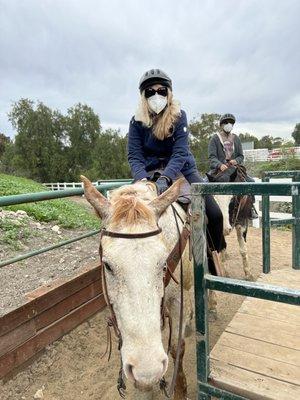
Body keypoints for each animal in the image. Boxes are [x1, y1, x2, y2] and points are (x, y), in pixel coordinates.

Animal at [82, 177, 193, 400]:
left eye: (164, 264)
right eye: (107, 266)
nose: (148, 369)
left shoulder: (179, 301)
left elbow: (177, 348)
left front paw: (180, 389)